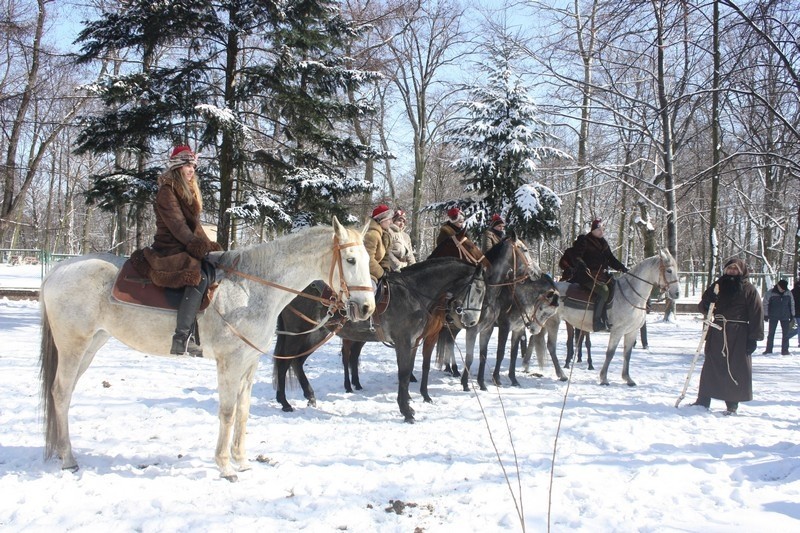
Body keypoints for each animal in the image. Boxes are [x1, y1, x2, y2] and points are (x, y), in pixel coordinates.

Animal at [43, 218, 378, 480]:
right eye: (350, 260)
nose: (366, 307)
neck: (251, 289)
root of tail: (57, 270)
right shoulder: (230, 363)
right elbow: (228, 412)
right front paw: (225, 466)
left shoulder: (249, 363)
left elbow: (243, 411)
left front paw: (242, 461)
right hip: (74, 346)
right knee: (60, 392)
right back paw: (68, 459)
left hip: (92, 345)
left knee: (64, 393)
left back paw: (61, 452)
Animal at [274, 256, 488, 422]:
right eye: (477, 290)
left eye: (483, 292)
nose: (472, 321)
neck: (413, 294)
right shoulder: (404, 342)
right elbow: (403, 374)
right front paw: (406, 411)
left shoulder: (413, 343)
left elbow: (409, 372)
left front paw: (409, 403)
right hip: (299, 333)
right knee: (284, 364)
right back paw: (284, 402)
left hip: (315, 333)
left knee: (297, 362)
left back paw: (309, 396)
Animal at [528, 249, 680, 386]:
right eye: (669, 271)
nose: (677, 293)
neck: (631, 296)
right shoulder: (617, 331)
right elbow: (610, 353)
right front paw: (604, 378)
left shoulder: (632, 332)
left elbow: (627, 354)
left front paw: (628, 378)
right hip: (553, 322)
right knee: (551, 347)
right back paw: (562, 375)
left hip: (545, 323)